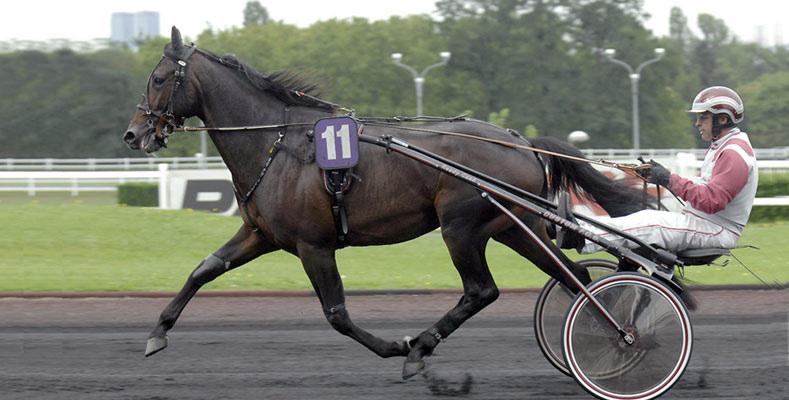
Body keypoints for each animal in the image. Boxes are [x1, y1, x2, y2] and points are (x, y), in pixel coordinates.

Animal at [120, 27, 644, 378]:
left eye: (159, 78)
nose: (134, 133)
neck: (277, 142)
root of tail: (520, 141)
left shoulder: (313, 245)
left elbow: (337, 314)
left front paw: (395, 346)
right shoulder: (260, 234)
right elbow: (204, 269)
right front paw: (157, 332)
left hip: (461, 227)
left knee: (482, 290)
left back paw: (421, 348)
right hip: (512, 226)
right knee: (572, 277)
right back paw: (606, 337)